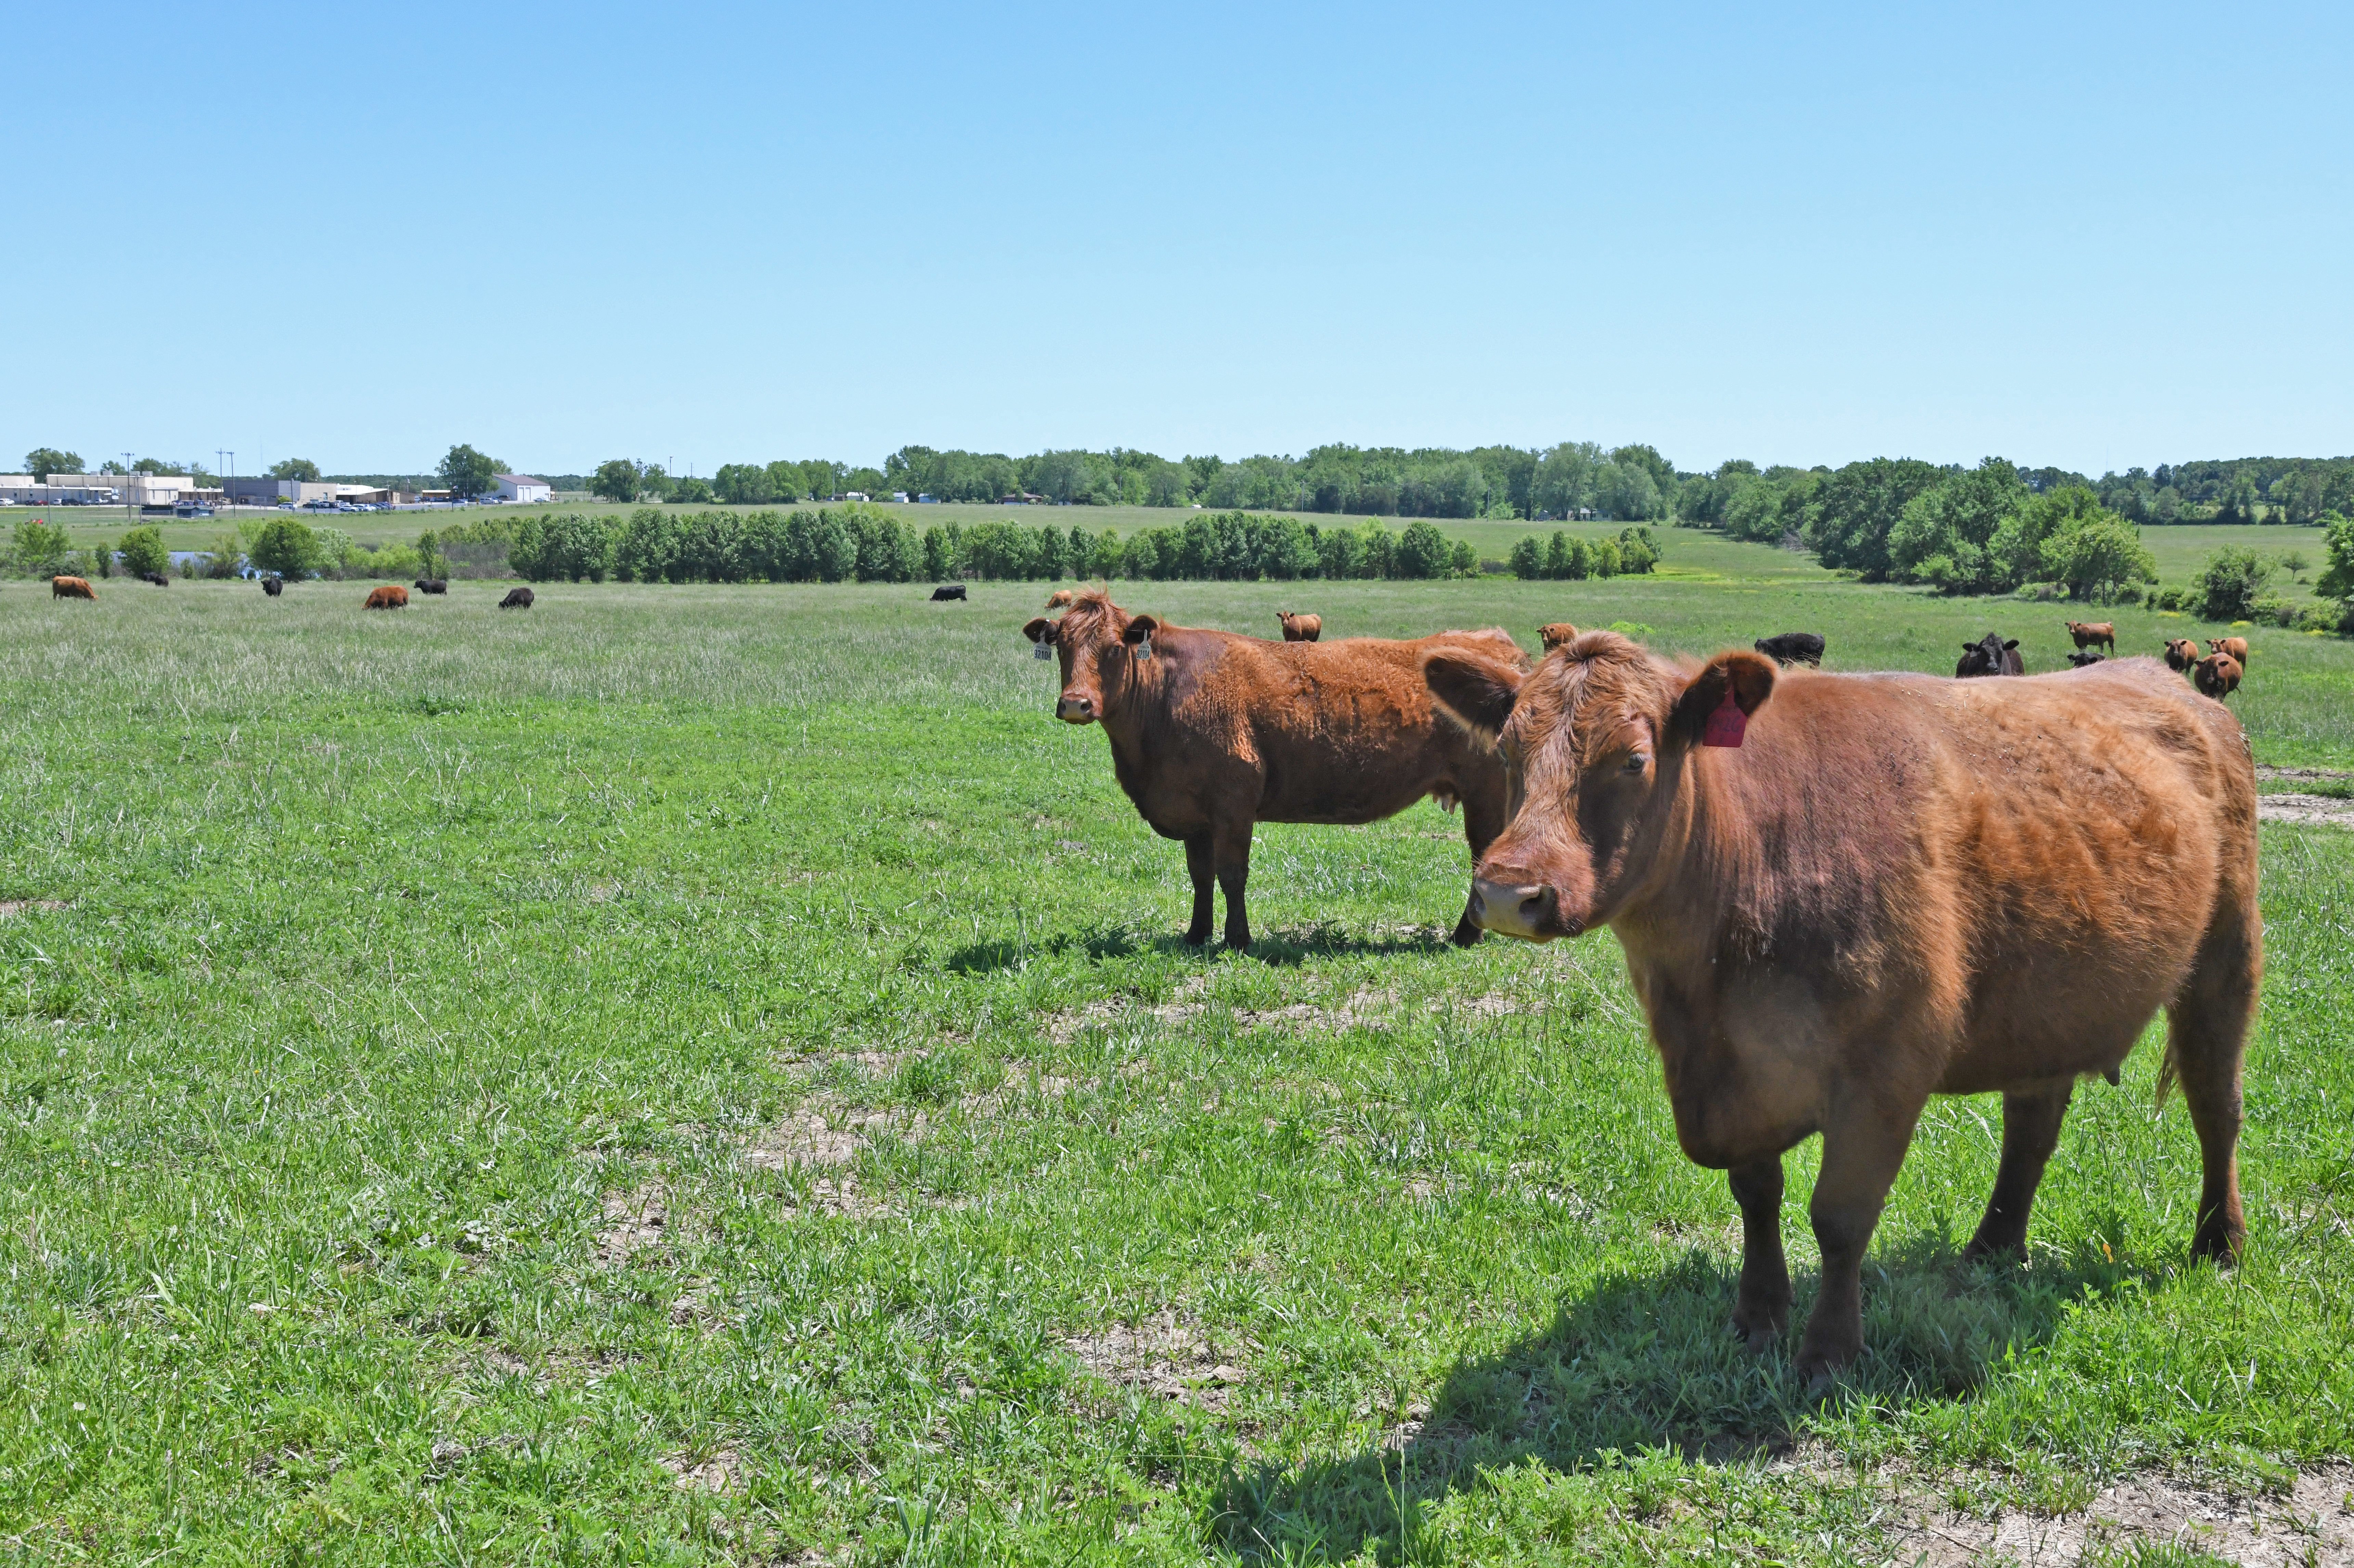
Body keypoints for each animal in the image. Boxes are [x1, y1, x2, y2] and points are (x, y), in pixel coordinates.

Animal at [50, 576, 96, 600]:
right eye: (94, 600)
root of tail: (56, 577)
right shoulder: (76, 596)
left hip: (61, 594)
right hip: (55, 593)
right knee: (55, 598)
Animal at [1276, 611, 1323, 642]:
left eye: (1289, 618)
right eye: (1282, 617)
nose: (1285, 623)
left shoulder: (1297, 638)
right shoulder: (1287, 639)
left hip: (1316, 637)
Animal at [1753, 632, 1825, 667]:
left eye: (1758, 647)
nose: (1755, 655)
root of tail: (1820, 636)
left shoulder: (1790, 662)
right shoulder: (1780, 662)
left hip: (1816, 660)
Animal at [2065, 620, 2117, 655]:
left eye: (2075, 626)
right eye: (2070, 626)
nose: (2072, 632)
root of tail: (2108, 624)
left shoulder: (2084, 644)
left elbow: (2083, 652)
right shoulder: (2079, 645)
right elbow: (2081, 652)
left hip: (2111, 640)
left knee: (2112, 648)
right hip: (2101, 643)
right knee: (2102, 649)